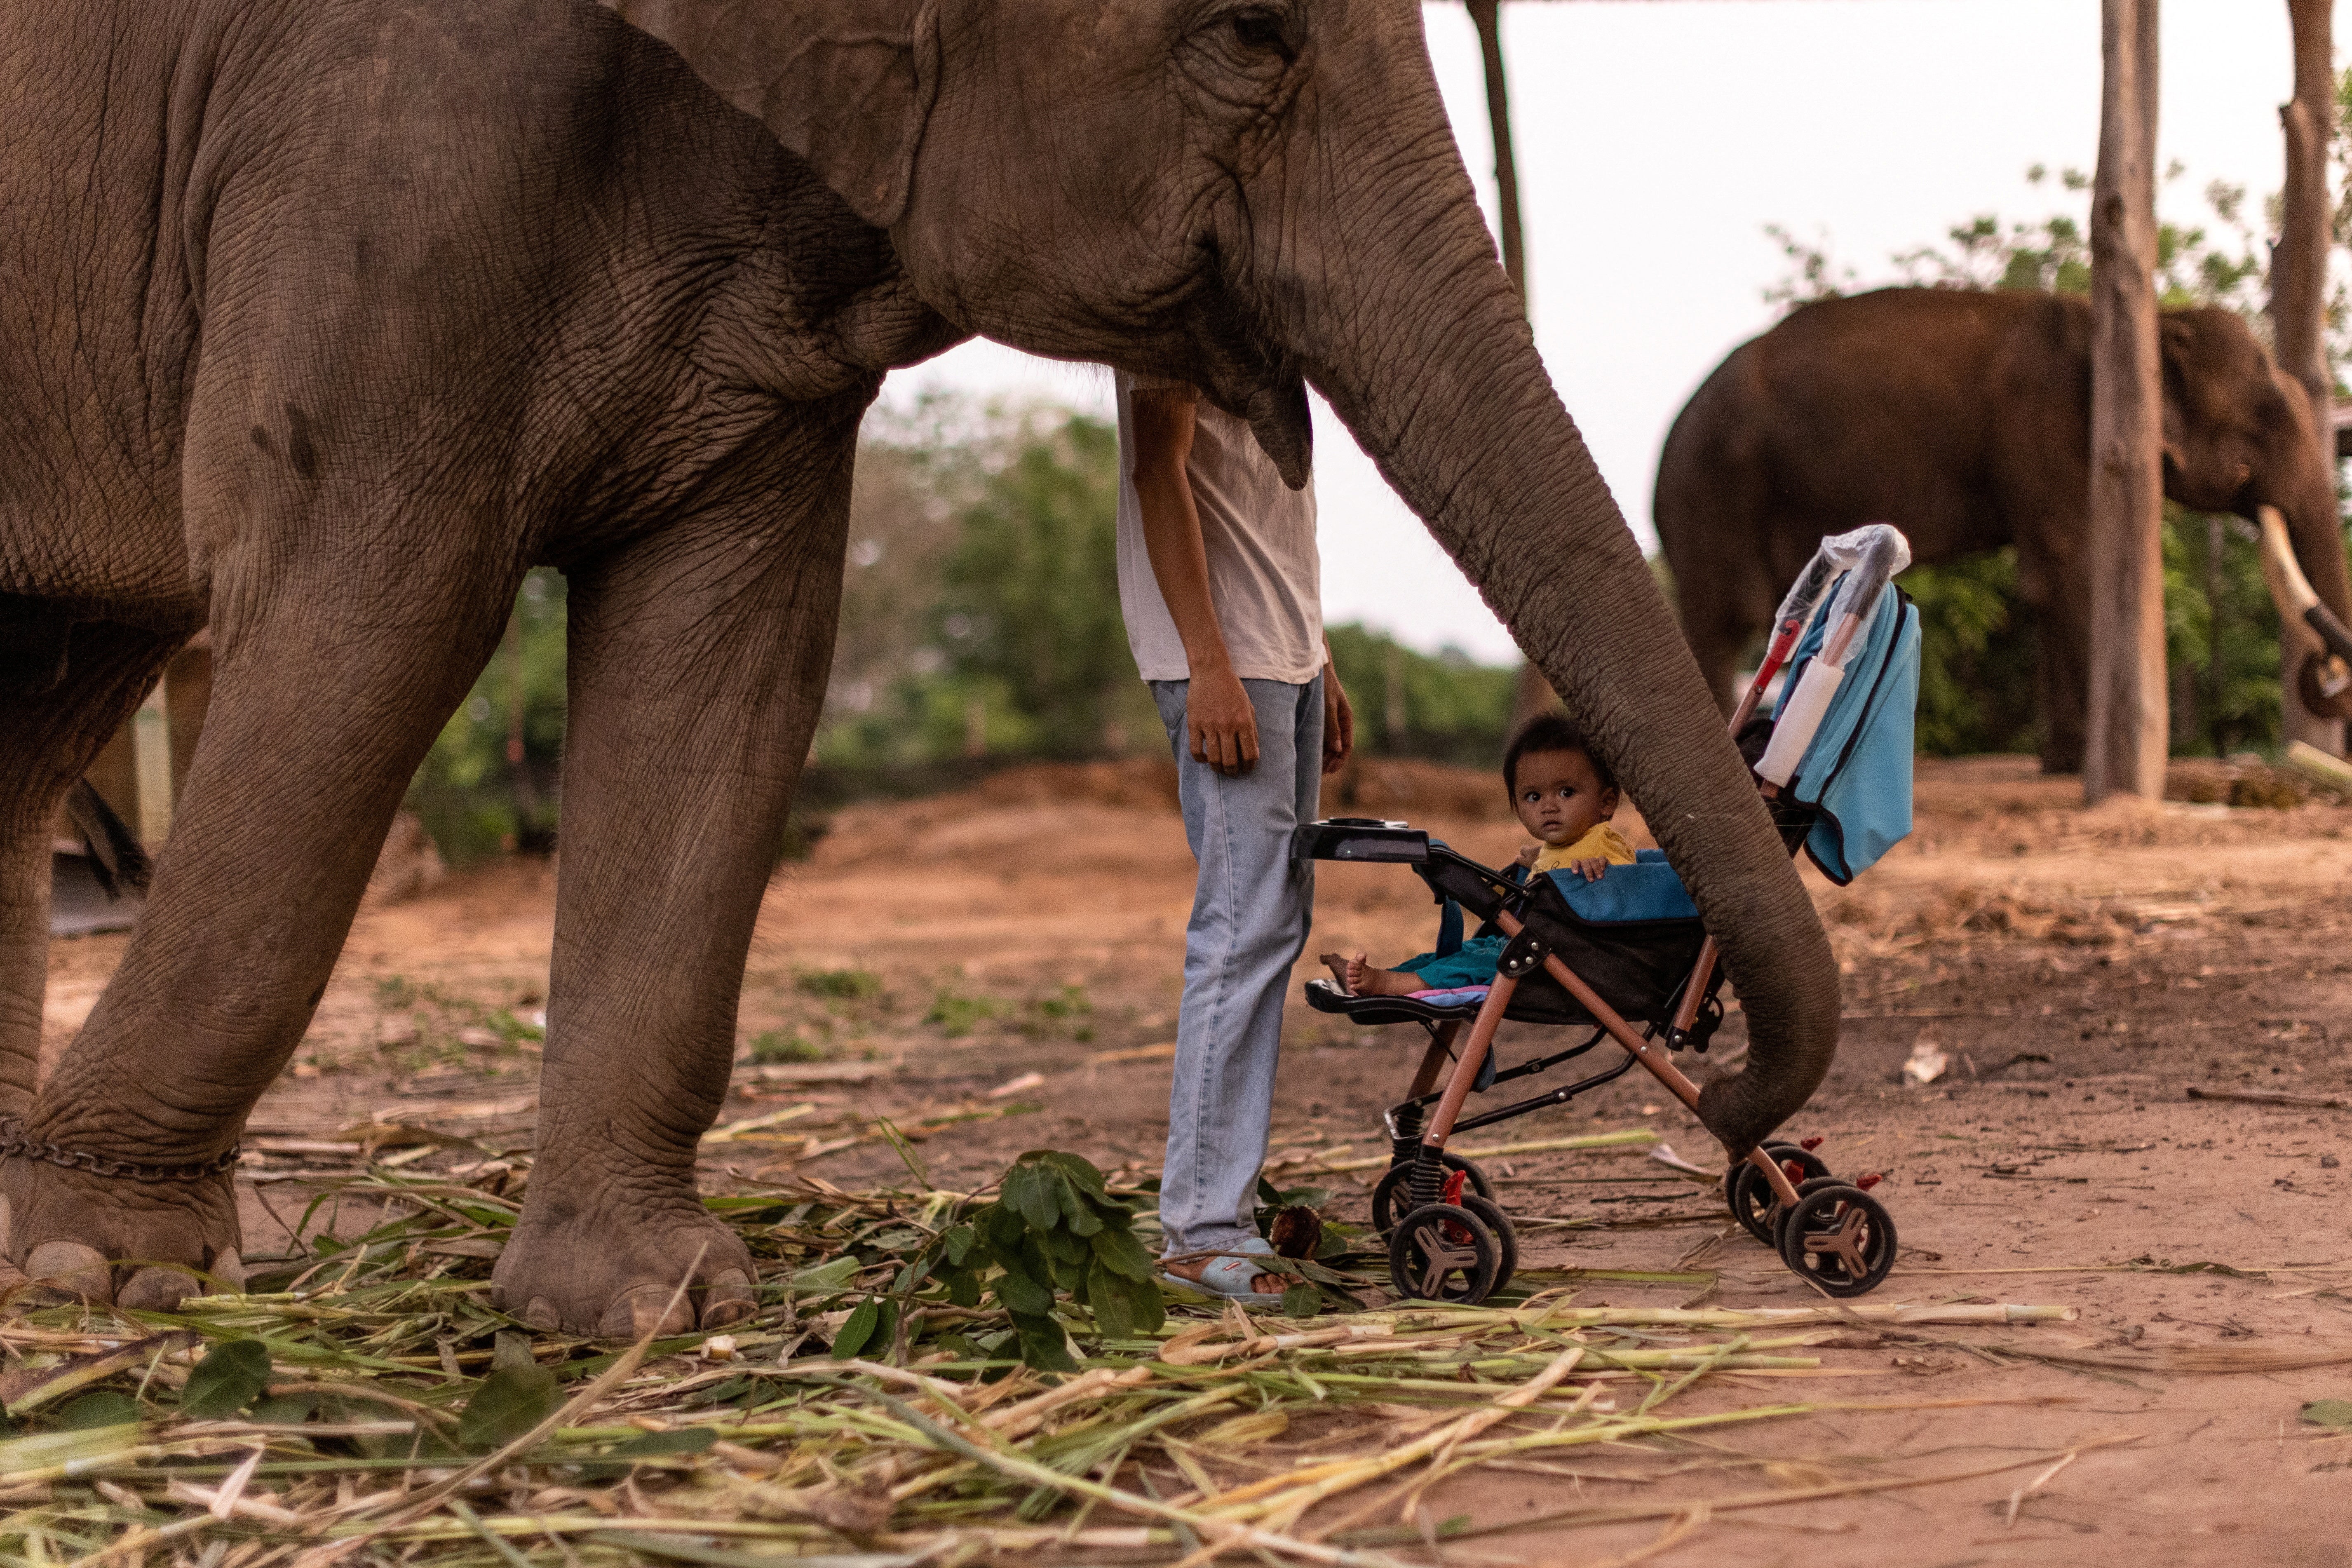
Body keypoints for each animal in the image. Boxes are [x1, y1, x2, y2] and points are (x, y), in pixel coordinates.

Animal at [0, 0, 1834, 1335]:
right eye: (1251, 34)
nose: (1730, 1097)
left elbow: (727, 659)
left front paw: (644, 1310)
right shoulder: (379, 148)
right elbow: (377, 607)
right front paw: (113, 1271)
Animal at [1656, 286, 2352, 771]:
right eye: (2264, 417)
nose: (2326, 674)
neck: (2146, 321)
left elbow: (2046, 584)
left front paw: (2060, 763)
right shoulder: (2052, 428)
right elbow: (2073, 564)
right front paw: (2080, 767)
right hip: (1712, 492)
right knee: (1726, 620)